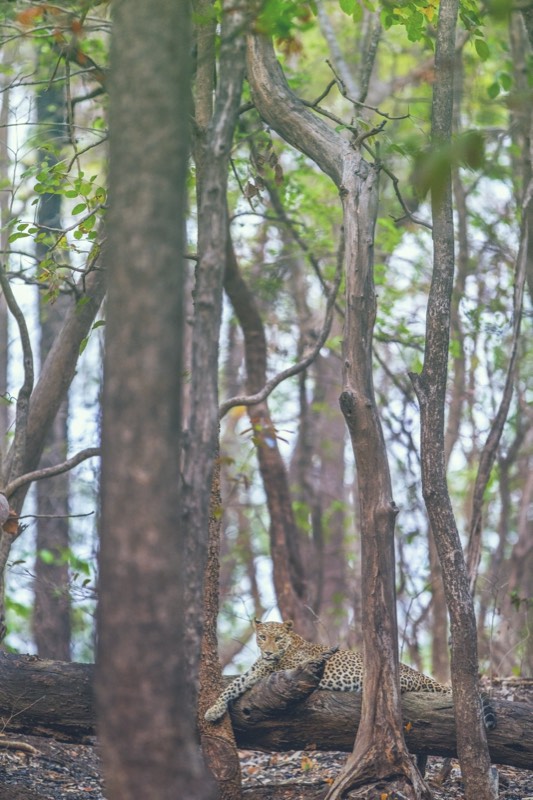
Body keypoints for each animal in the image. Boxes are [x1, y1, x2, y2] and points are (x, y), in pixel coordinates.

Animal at [205, 619, 496, 730]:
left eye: (277, 639)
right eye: (262, 637)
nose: (266, 652)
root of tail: (421, 675)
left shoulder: (274, 670)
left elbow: (237, 684)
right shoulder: (256, 671)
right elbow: (232, 686)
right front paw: (213, 710)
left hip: (397, 678)